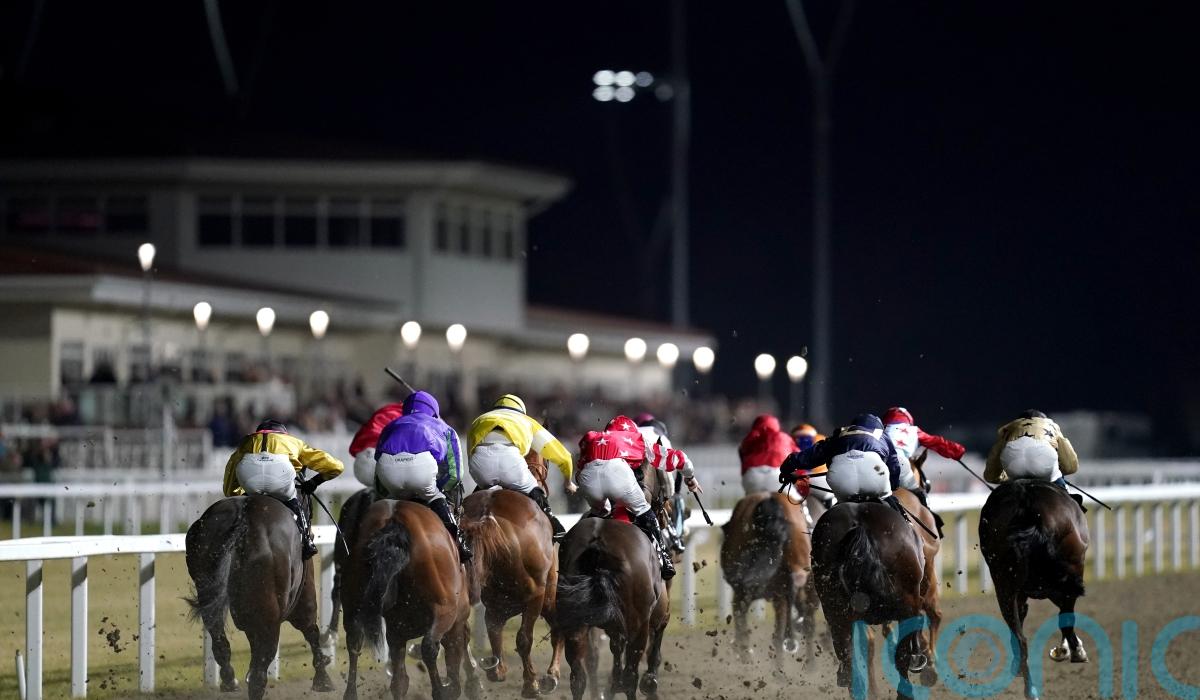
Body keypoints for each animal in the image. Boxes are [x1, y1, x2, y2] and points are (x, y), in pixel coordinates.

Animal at [185, 495, 334, 700]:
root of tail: (242, 517)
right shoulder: (304, 594)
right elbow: (311, 630)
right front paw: (323, 678)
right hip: (271, 615)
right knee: (259, 673)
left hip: (209, 593)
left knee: (220, 643)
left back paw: (230, 680)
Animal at [341, 498, 481, 700]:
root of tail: (393, 522)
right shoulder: (456, 621)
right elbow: (455, 665)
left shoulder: (396, 632)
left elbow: (400, 681)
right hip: (445, 610)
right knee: (429, 648)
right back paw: (440, 690)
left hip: (353, 604)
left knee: (354, 640)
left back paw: (351, 692)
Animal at [460, 487, 563, 696]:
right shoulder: (504, 603)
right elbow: (502, 633)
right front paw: (525, 681)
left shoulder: (527, 598)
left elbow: (514, 637)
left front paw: (527, 682)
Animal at [979, 479, 1089, 700]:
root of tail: (1027, 505)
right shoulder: (1058, 585)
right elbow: (1065, 618)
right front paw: (1069, 650)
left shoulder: (1025, 592)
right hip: (1067, 574)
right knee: (1064, 617)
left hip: (1004, 585)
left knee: (1020, 639)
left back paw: (1030, 689)